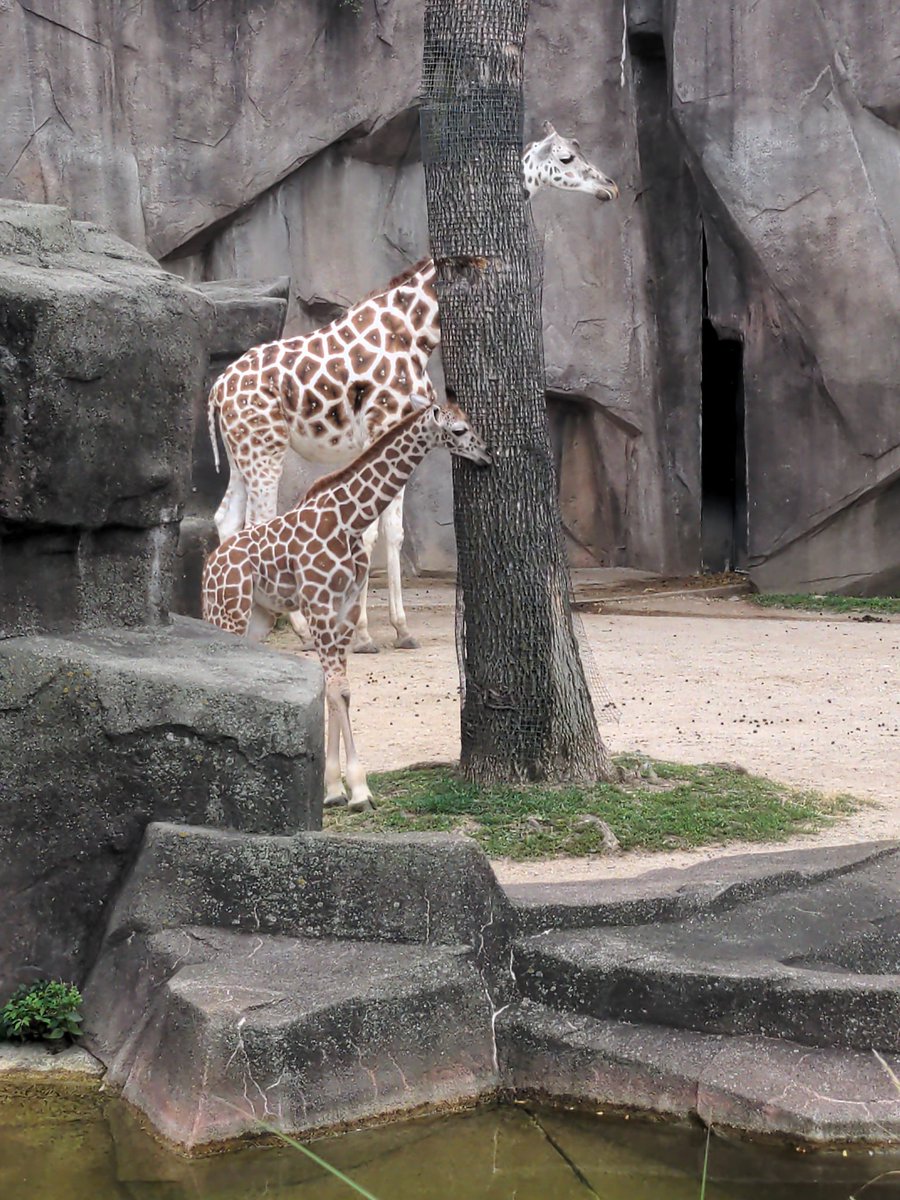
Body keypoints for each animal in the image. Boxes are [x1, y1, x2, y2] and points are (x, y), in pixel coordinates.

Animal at [202, 398, 491, 811]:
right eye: (460, 430)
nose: (487, 454)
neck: (350, 518)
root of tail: (210, 565)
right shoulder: (319, 604)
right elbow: (337, 689)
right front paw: (358, 790)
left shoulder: (345, 610)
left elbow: (338, 690)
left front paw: (335, 788)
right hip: (229, 611)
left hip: (257, 617)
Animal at [207, 121, 618, 652]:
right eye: (567, 158)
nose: (609, 187)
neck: (414, 329)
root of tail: (216, 391)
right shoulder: (384, 425)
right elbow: (373, 533)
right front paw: (367, 633)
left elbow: (393, 533)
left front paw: (394, 628)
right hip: (265, 448)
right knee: (258, 521)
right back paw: (295, 626)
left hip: (242, 450)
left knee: (226, 519)